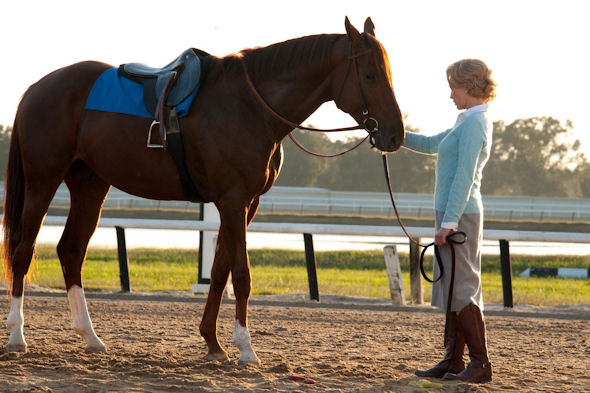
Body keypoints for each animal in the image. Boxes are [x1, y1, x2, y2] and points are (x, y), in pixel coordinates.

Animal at [2, 16, 404, 364]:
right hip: (43, 181)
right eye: (370, 74)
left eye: (389, 73)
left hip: (90, 185)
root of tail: (38, 87)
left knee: (71, 251)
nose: (395, 135)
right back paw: (17, 336)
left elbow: (220, 270)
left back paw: (90, 337)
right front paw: (245, 348)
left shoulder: (245, 204)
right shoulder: (233, 201)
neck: (251, 107)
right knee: (23, 251)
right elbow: (241, 275)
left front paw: (213, 343)